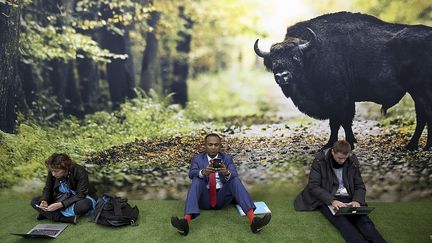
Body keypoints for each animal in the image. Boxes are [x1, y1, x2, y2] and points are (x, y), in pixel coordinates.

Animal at [253, 12, 432, 151]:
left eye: (296, 57)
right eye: (274, 62)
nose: (282, 76)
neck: (313, 54)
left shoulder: (336, 99)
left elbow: (337, 122)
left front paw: (331, 144)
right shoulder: (347, 100)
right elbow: (346, 122)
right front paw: (351, 141)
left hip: (420, 90)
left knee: (425, 115)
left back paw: (422, 146)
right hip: (416, 92)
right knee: (422, 115)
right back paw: (414, 145)